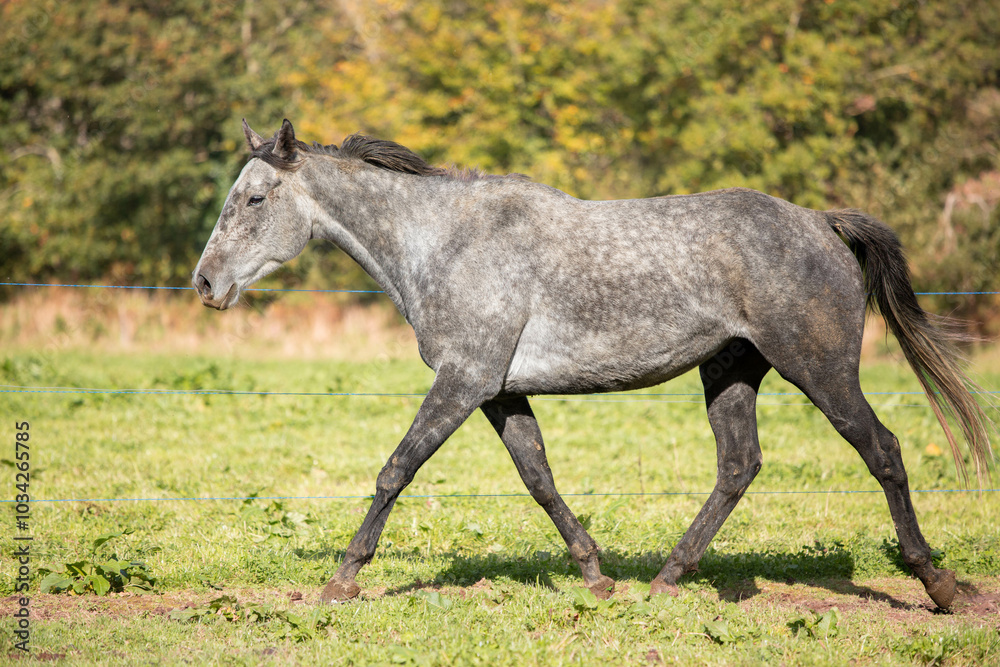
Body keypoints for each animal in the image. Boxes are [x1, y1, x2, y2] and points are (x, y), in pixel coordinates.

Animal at [193, 119, 992, 609]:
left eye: (255, 198)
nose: (206, 284)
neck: (444, 242)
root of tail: (822, 222)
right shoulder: (497, 391)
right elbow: (539, 477)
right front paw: (596, 575)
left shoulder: (463, 380)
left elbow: (397, 468)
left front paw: (342, 580)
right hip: (730, 372)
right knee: (739, 466)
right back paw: (667, 579)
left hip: (820, 369)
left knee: (883, 450)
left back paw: (938, 584)